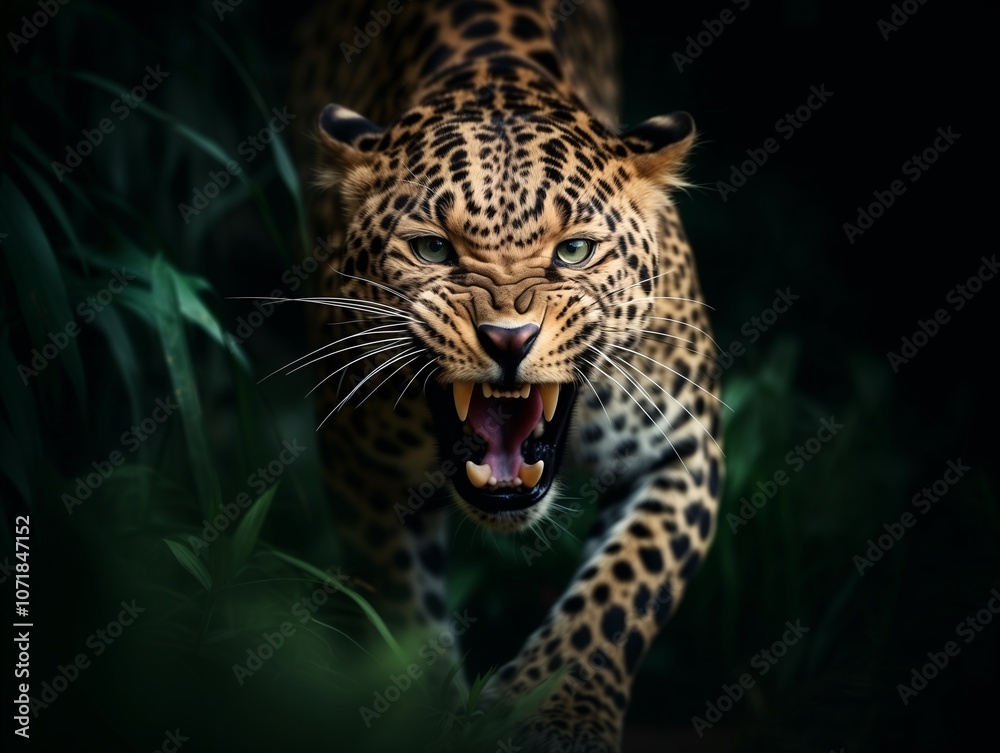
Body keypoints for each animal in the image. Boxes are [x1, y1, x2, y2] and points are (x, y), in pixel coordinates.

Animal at [289, 0, 724, 750]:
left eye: (574, 251)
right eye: (433, 249)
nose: (508, 339)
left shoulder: (684, 449)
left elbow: (625, 589)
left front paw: (557, 711)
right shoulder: (363, 464)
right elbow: (401, 602)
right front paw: (422, 714)